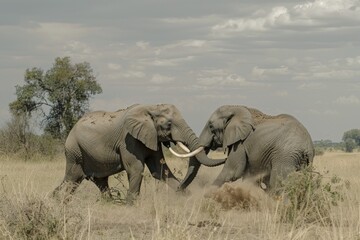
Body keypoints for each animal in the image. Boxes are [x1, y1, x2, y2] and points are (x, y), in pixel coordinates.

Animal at [52, 103, 225, 202]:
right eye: (169, 124)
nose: (183, 190)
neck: (150, 109)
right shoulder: (128, 140)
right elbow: (136, 168)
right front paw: (131, 204)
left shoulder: (151, 137)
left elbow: (159, 170)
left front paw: (186, 196)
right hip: (75, 152)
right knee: (72, 179)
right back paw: (60, 201)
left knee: (96, 181)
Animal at [179, 105, 314, 193]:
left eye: (211, 126)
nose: (178, 190)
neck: (237, 108)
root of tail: (307, 147)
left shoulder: (240, 144)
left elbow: (231, 172)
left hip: (285, 156)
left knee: (278, 184)